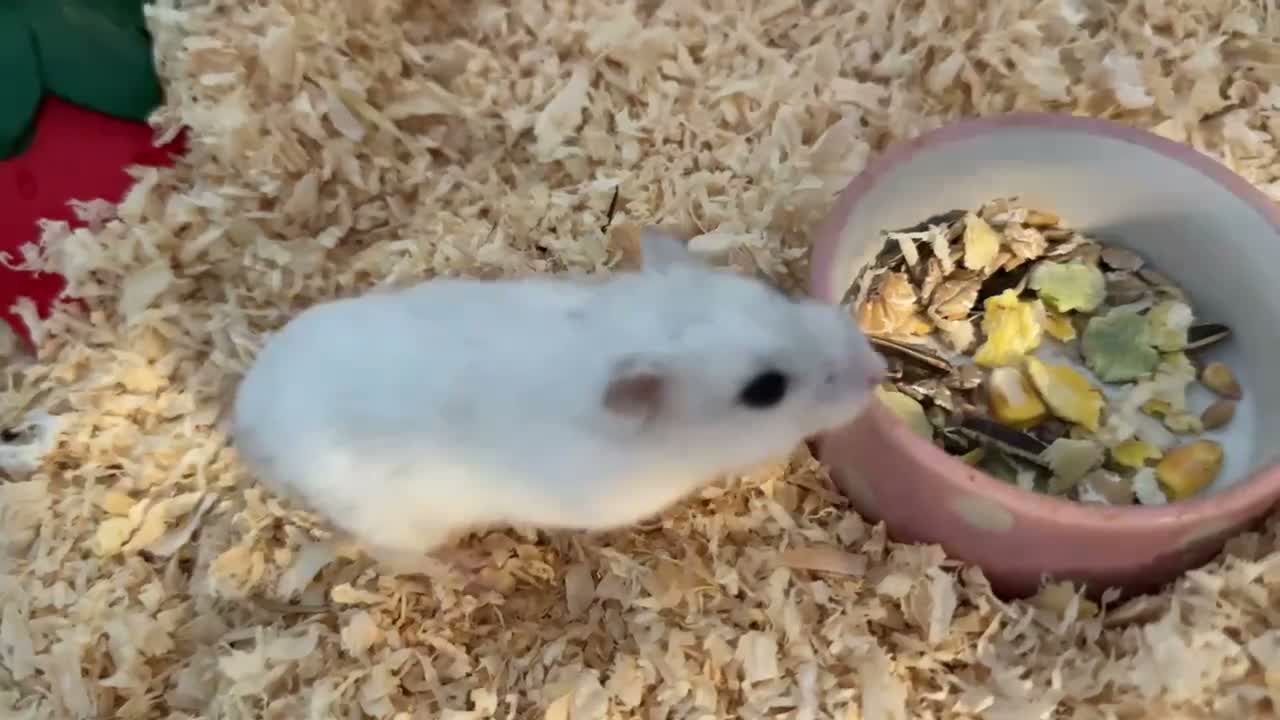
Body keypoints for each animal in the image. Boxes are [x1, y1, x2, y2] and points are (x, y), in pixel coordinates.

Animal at [230, 227, 886, 574]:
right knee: (396, 555)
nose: (877, 371)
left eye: (773, 294)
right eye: (765, 390)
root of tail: (246, 419)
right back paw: (469, 573)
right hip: (401, 520)